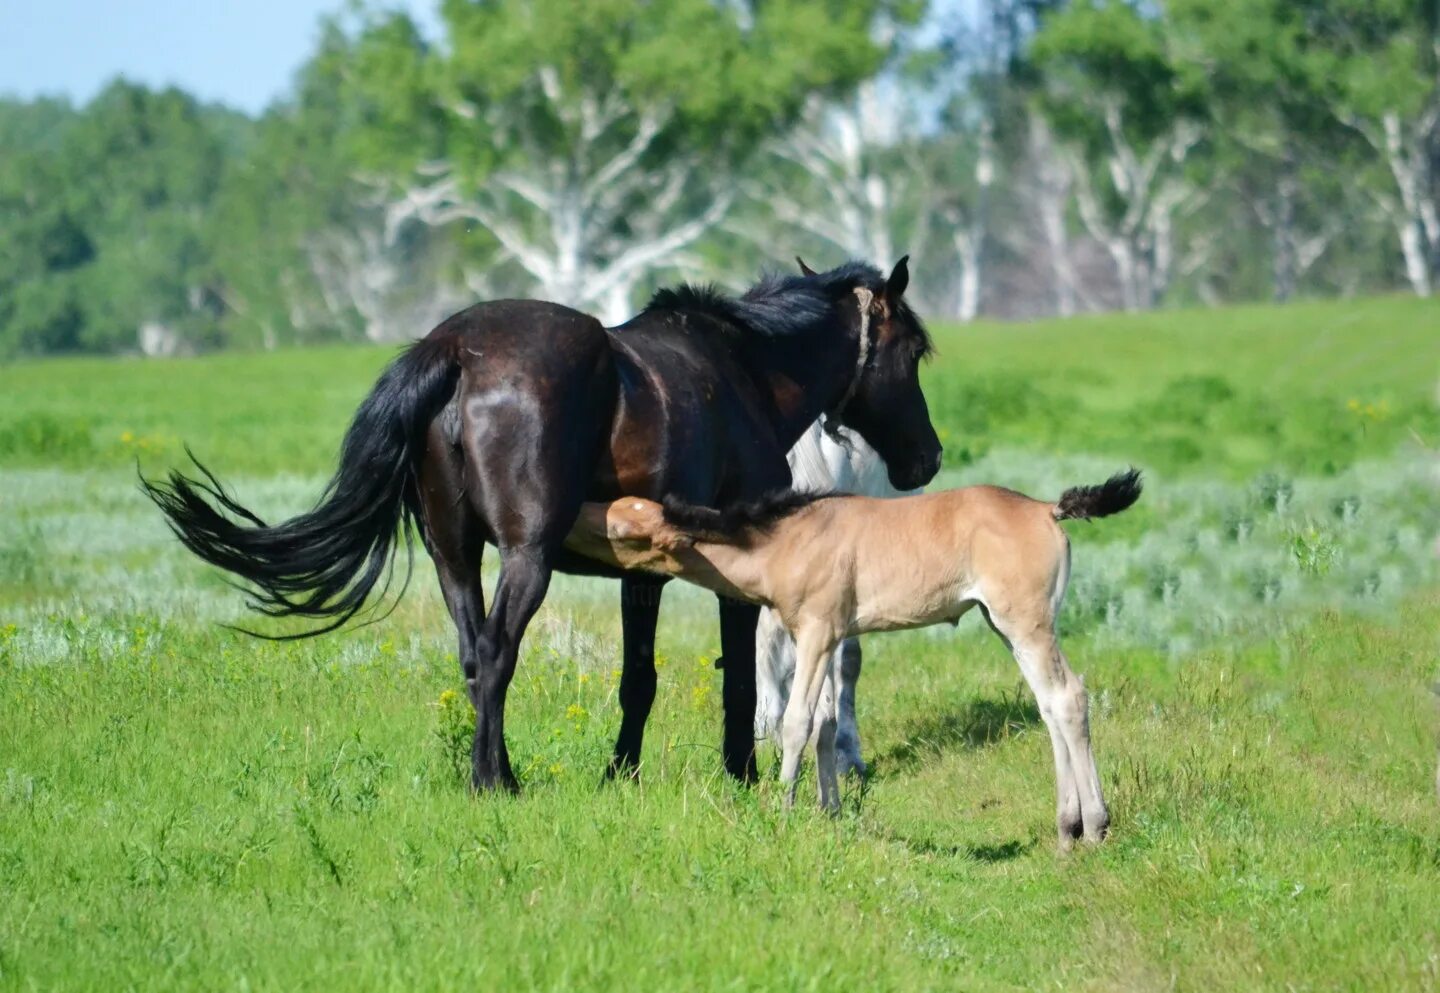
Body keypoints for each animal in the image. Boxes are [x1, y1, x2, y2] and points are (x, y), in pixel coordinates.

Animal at [567, 469, 1140, 846]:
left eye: (620, 528)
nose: (573, 512)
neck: (786, 539)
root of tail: (1047, 508)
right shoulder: (822, 635)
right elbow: (824, 721)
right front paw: (830, 813)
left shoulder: (818, 631)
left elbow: (796, 721)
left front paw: (783, 811)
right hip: (1004, 625)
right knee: (1048, 706)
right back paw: (1066, 829)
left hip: (1027, 623)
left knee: (1068, 698)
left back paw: (1094, 828)